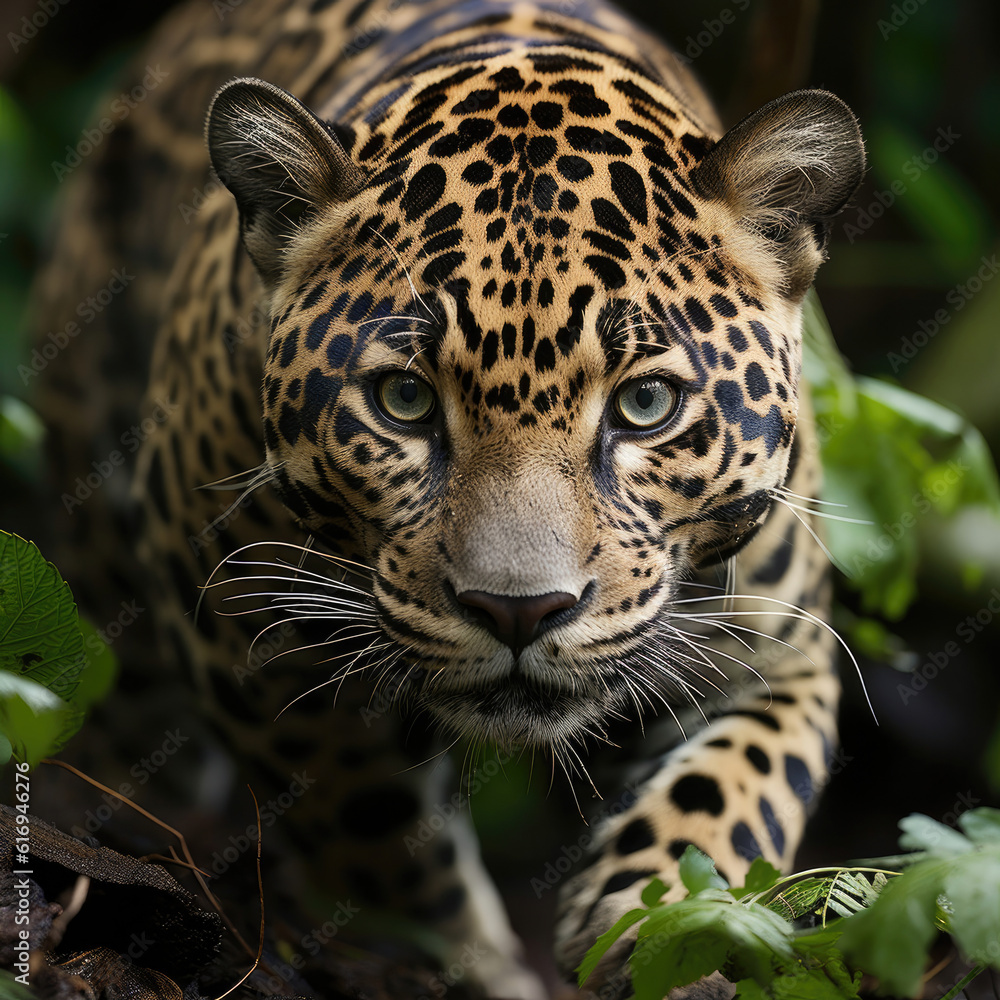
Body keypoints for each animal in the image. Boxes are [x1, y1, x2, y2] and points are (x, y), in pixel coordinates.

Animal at [29, 0, 864, 995]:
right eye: (404, 400)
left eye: (646, 405)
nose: (519, 612)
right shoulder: (245, 637)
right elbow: (381, 846)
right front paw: (476, 965)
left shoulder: (786, 650)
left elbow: (740, 786)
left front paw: (650, 916)